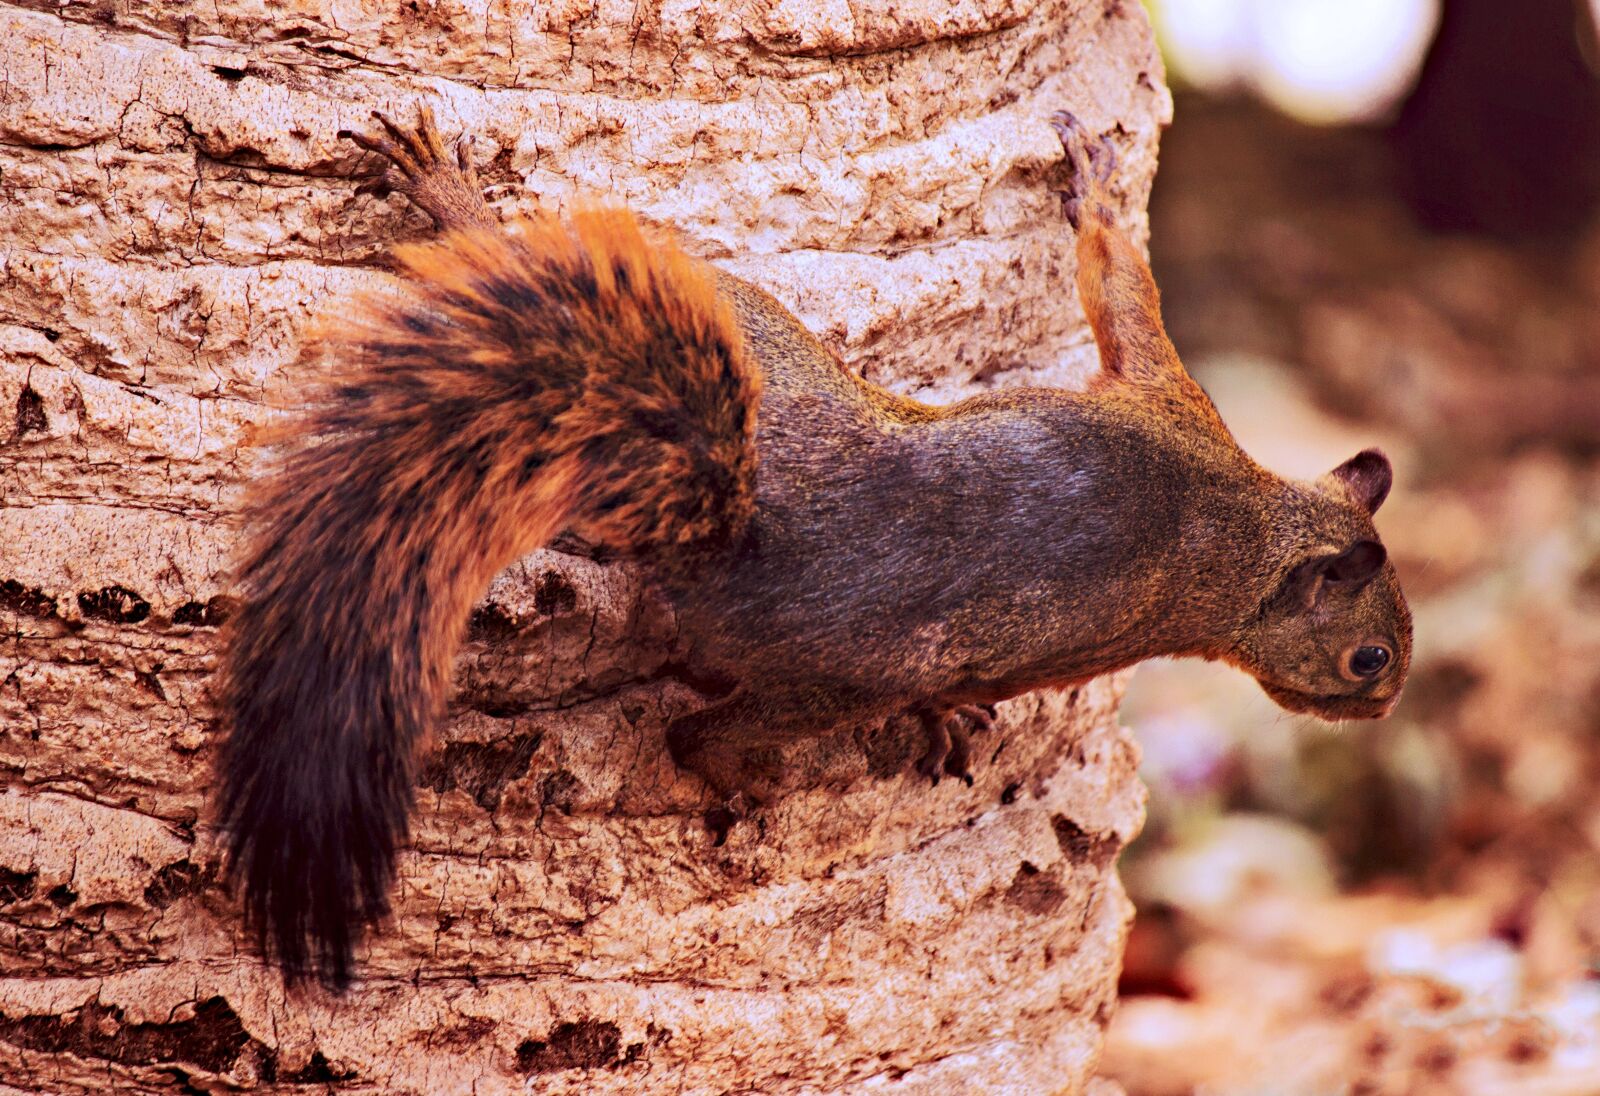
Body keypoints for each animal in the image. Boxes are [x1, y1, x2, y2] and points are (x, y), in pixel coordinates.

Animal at [216, 105, 1411, 989]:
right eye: (1372, 658)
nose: (1381, 707)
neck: (1251, 529)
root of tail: (747, 525)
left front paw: (943, 722)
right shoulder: (1170, 401)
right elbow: (1120, 281)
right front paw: (1098, 178)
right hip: (761, 398)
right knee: (698, 733)